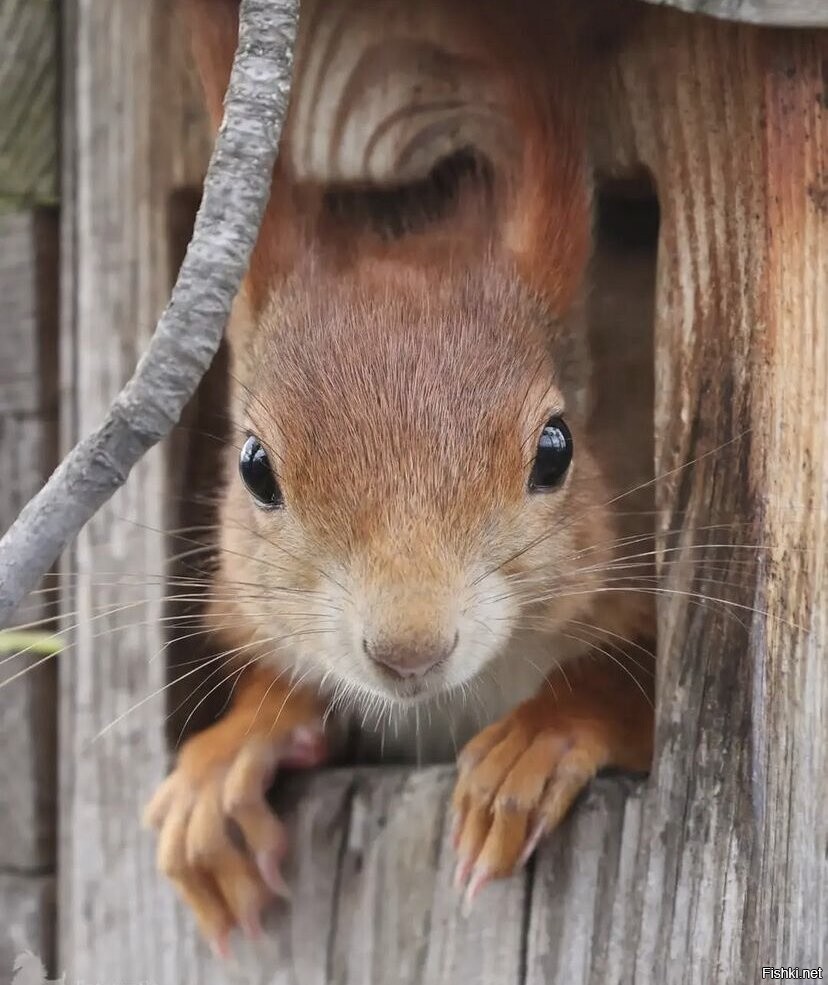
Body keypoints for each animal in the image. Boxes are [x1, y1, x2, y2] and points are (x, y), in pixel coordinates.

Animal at [147, 0, 652, 952]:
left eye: (556, 449)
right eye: (255, 468)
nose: (409, 648)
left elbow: (635, 690)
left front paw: (542, 736)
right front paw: (228, 761)